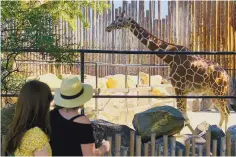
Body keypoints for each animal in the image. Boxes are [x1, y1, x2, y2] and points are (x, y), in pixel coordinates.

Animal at [105, 11, 236, 134]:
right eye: (115, 18)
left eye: (120, 20)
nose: (108, 28)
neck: (169, 57)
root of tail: (226, 76)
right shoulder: (183, 90)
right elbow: (184, 116)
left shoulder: (179, 87)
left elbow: (183, 116)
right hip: (212, 93)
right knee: (223, 112)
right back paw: (217, 130)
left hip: (219, 91)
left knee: (226, 112)